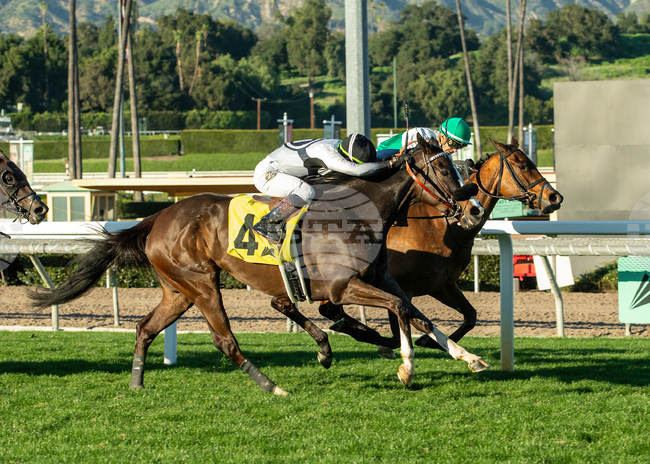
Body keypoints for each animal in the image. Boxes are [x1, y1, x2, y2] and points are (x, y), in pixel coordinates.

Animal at [29, 134, 489, 396]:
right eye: (442, 167)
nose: (471, 208)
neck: (361, 212)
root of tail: (156, 217)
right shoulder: (341, 288)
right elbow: (397, 311)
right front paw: (406, 368)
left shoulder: (382, 278)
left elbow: (413, 312)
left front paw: (467, 358)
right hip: (201, 283)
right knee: (225, 341)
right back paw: (273, 387)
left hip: (178, 290)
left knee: (145, 328)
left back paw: (137, 383)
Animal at [314, 138, 564, 353]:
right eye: (522, 166)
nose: (555, 197)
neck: (442, 227)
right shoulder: (402, 286)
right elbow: (396, 334)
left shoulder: (443, 285)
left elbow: (470, 316)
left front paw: (429, 341)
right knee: (329, 307)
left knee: (329, 308)